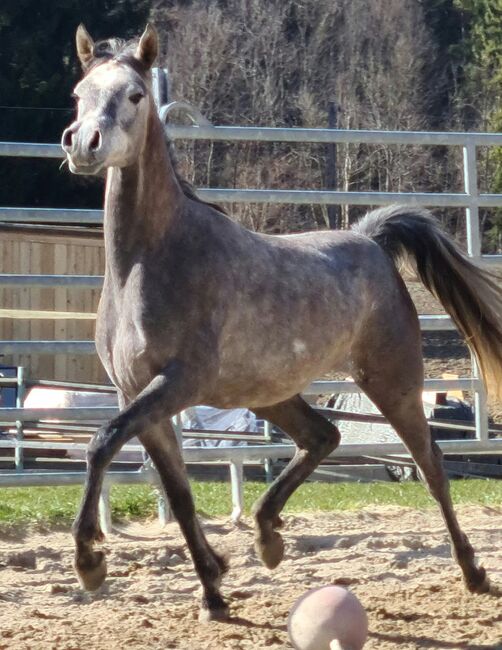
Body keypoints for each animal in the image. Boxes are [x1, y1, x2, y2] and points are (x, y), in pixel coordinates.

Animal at [62, 24, 502, 616]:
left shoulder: (176, 384)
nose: (82, 143)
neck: (150, 260)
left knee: (430, 463)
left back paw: (473, 573)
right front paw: (213, 591)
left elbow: (101, 443)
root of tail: (370, 240)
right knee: (323, 435)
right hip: (268, 393)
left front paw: (90, 563)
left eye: (134, 95)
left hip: (392, 380)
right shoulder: (139, 394)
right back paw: (268, 536)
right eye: (79, 94)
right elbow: (176, 492)